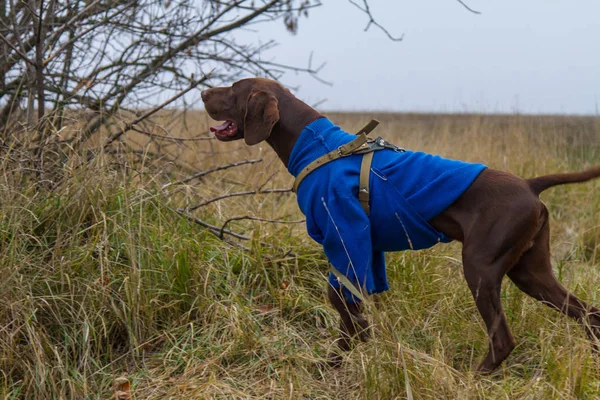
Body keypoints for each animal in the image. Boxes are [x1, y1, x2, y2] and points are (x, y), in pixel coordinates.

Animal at [203, 77, 600, 372]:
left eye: (233, 90)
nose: (204, 91)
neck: (317, 146)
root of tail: (530, 185)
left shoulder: (345, 237)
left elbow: (343, 304)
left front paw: (343, 355)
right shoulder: (362, 248)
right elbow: (352, 306)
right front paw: (345, 355)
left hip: (481, 267)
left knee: (502, 338)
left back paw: (471, 377)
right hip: (530, 272)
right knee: (589, 315)